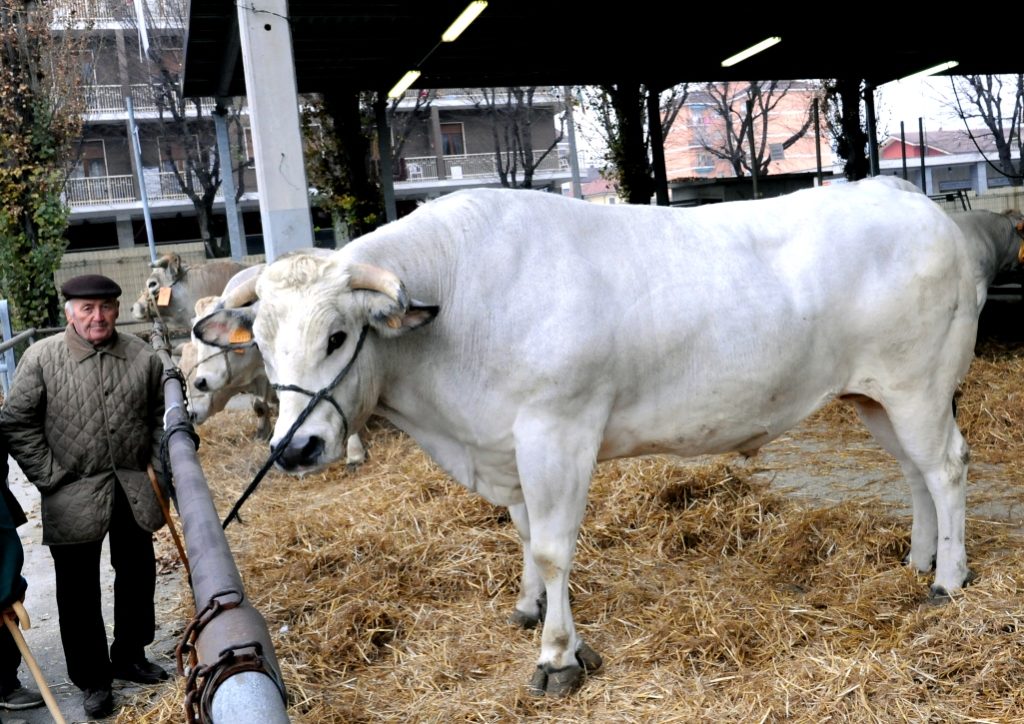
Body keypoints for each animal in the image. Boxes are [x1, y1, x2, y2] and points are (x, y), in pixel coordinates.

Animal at [193, 181, 983, 696]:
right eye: (260, 342)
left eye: (337, 336)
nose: (294, 450)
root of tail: (916, 202)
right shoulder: (506, 443)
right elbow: (521, 532)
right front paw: (529, 609)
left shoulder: (557, 429)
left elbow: (550, 545)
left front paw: (558, 656)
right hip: (875, 395)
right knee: (914, 473)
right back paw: (919, 559)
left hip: (918, 384)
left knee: (945, 468)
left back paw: (948, 580)